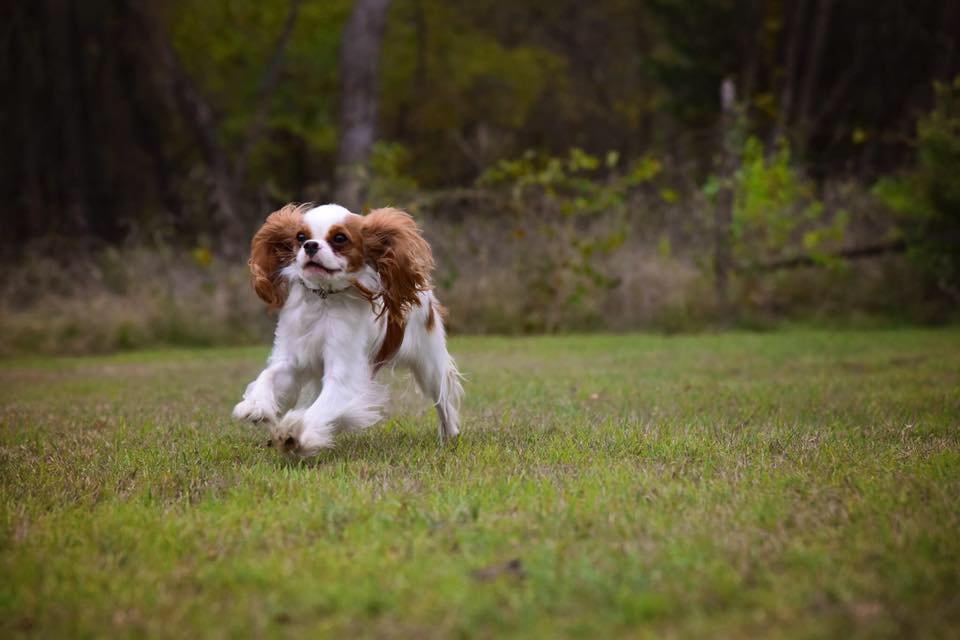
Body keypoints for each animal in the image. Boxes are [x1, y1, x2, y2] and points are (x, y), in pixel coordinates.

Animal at [229, 202, 462, 458]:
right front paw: (255, 405)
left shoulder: (344, 376)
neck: (324, 298)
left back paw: (450, 434)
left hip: (429, 365)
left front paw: (294, 434)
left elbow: (320, 409)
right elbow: (269, 376)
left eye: (340, 238)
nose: (310, 245)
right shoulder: (291, 358)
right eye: (300, 237)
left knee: (443, 401)